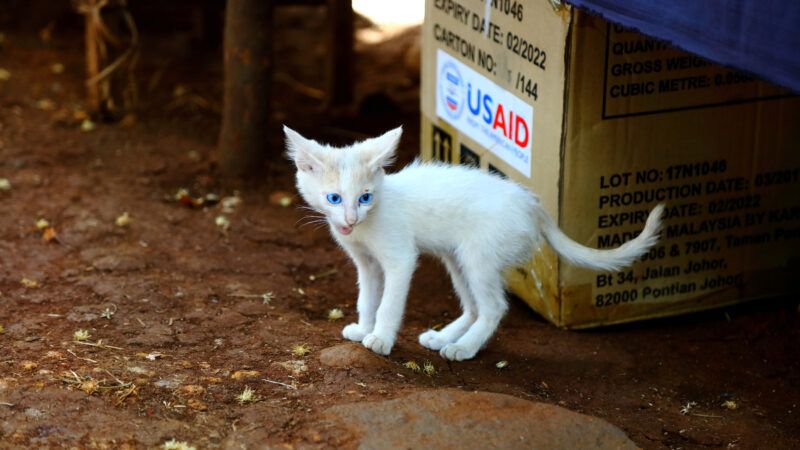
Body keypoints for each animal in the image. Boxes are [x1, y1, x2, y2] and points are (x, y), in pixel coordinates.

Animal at [284, 126, 664, 362]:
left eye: (365, 197)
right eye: (334, 198)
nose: (350, 219)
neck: (368, 223)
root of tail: (531, 203)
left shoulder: (400, 258)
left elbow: (388, 304)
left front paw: (380, 338)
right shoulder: (367, 263)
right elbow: (367, 299)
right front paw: (364, 327)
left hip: (478, 256)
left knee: (494, 307)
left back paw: (463, 348)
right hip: (457, 258)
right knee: (474, 307)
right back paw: (443, 339)